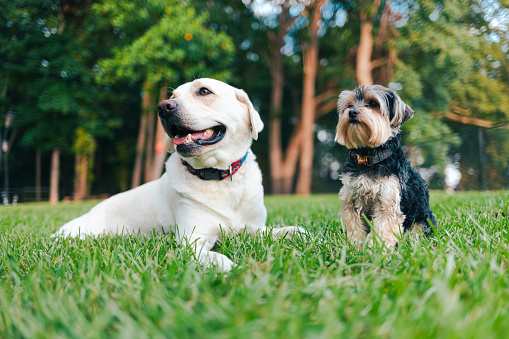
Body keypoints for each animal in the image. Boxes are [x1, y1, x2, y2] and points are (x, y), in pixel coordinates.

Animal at [53, 77, 304, 274]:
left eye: (204, 91)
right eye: (172, 96)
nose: (163, 107)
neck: (218, 176)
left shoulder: (255, 229)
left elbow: (285, 231)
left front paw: (296, 232)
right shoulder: (192, 241)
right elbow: (213, 257)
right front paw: (227, 266)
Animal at [336, 85, 434, 250]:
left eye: (373, 103)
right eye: (349, 105)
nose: (352, 112)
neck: (368, 158)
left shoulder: (387, 202)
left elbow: (382, 230)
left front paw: (376, 251)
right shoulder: (352, 201)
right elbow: (355, 228)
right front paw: (355, 248)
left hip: (421, 223)